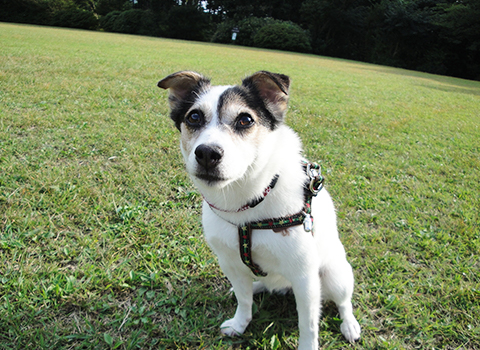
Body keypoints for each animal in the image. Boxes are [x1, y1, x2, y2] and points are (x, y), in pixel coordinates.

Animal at [158, 69, 360, 348]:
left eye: (245, 120)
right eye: (194, 117)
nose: (207, 153)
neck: (249, 201)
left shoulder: (305, 276)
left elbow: (308, 324)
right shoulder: (230, 262)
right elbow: (244, 301)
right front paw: (240, 323)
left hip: (335, 274)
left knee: (343, 302)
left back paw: (349, 324)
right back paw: (256, 287)